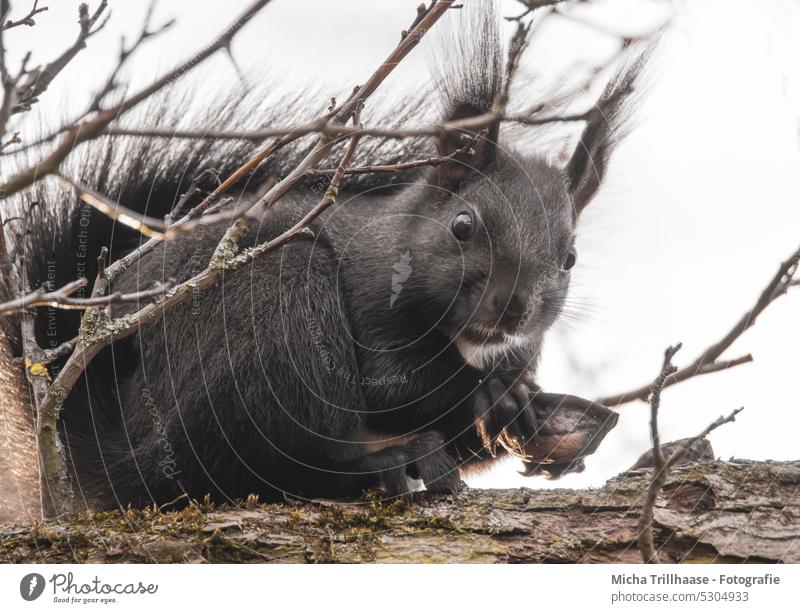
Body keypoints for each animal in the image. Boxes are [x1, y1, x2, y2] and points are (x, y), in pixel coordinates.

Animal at [21, 1, 640, 506]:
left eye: (570, 258)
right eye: (462, 226)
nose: (512, 308)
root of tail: (118, 454)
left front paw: (536, 414)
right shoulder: (370, 298)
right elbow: (391, 386)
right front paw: (498, 395)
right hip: (273, 306)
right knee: (272, 459)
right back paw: (389, 461)